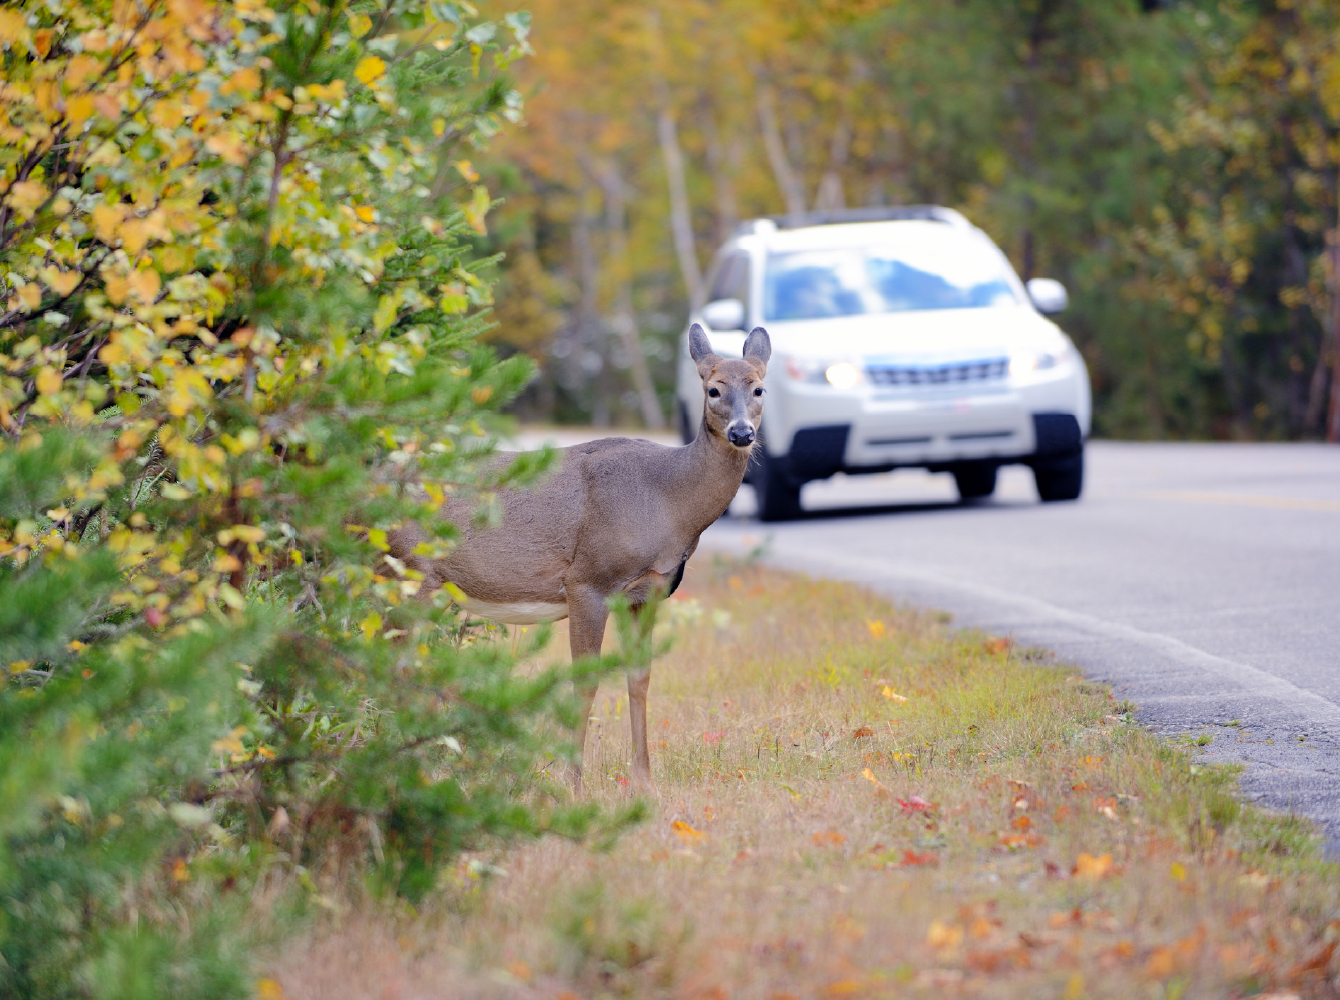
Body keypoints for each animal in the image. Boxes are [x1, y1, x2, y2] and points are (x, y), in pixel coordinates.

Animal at [392, 324, 770, 789]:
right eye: (713, 389)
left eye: (758, 388)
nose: (742, 433)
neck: (667, 499)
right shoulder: (588, 580)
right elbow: (584, 682)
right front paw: (572, 782)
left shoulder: (648, 591)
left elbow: (640, 678)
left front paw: (643, 780)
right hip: (410, 571)